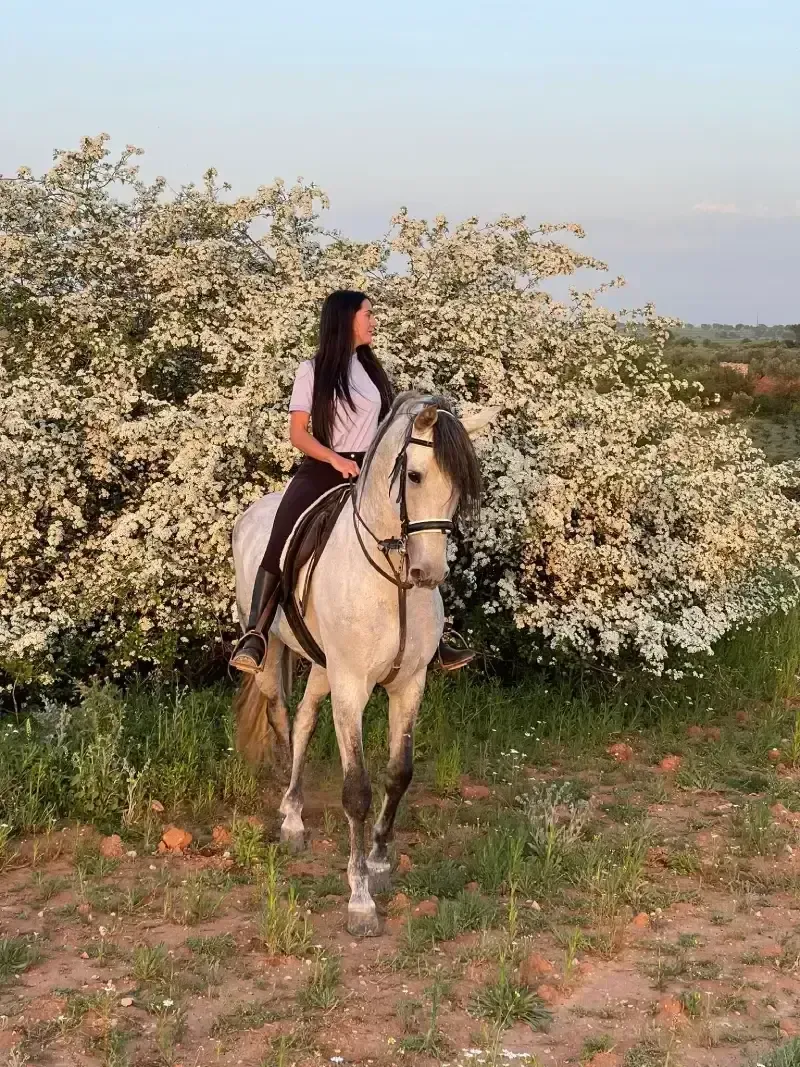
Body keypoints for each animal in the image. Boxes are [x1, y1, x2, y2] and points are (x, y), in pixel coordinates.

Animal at [231, 391, 497, 935]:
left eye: (462, 486)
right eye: (414, 475)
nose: (428, 572)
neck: (391, 580)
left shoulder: (408, 684)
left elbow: (399, 773)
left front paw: (377, 860)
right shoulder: (352, 685)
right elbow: (356, 789)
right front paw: (359, 901)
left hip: (322, 667)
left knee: (306, 718)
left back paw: (295, 813)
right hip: (273, 658)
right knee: (283, 716)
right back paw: (290, 817)